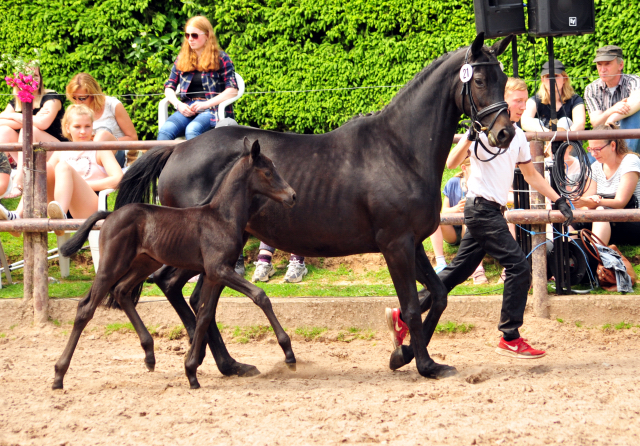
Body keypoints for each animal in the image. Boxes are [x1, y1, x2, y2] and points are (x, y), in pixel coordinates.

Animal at [53, 139, 296, 390]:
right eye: (268, 172)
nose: (292, 195)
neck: (222, 217)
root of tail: (110, 214)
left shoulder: (214, 274)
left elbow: (205, 314)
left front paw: (191, 371)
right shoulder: (220, 269)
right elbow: (259, 296)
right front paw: (289, 354)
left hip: (145, 264)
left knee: (121, 291)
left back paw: (149, 354)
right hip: (111, 265)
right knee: (86, 307)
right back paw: (59, 375)